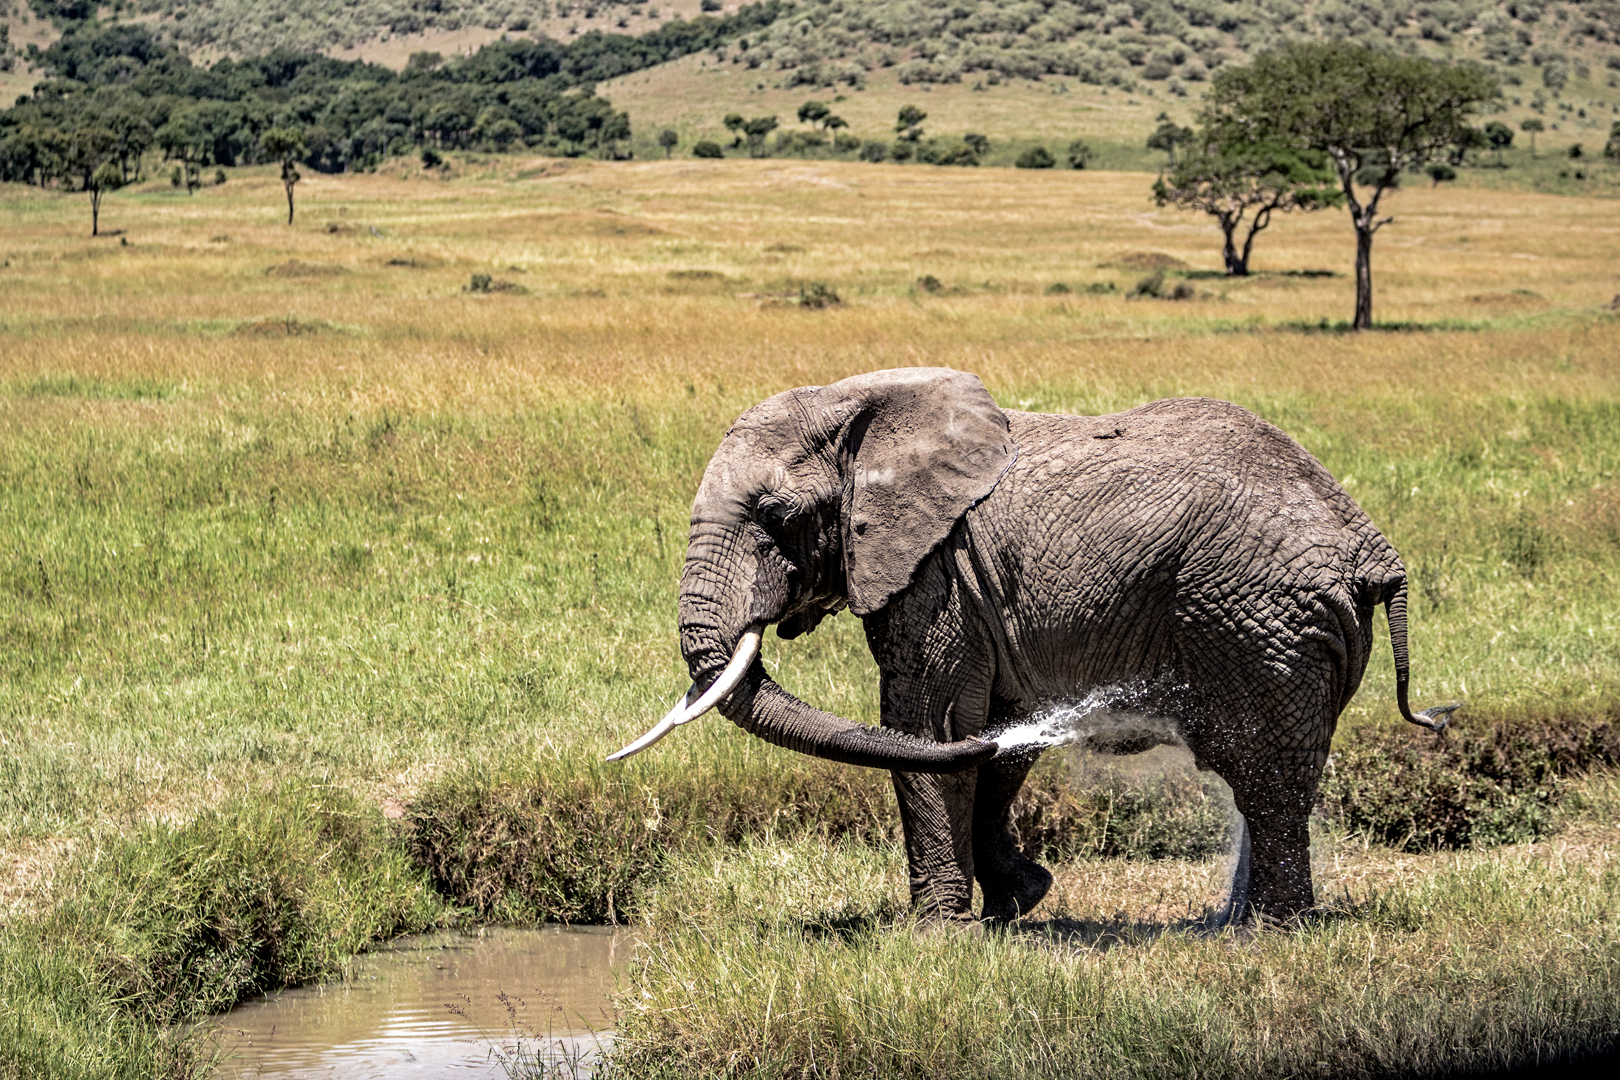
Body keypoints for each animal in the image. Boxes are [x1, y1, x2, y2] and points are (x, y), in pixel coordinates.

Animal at [609, 367, 1458, 926]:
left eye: (777, 519)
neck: (861, 403)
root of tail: (1372, 546)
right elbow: (990, 741)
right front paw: (1018, 902)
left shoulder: (937, 571)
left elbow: (930, 724)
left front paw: (936, 935)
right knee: (1277, 773)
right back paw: (1240, 921)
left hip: (1257, 618)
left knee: (1266, 775)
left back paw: (1266, 933)